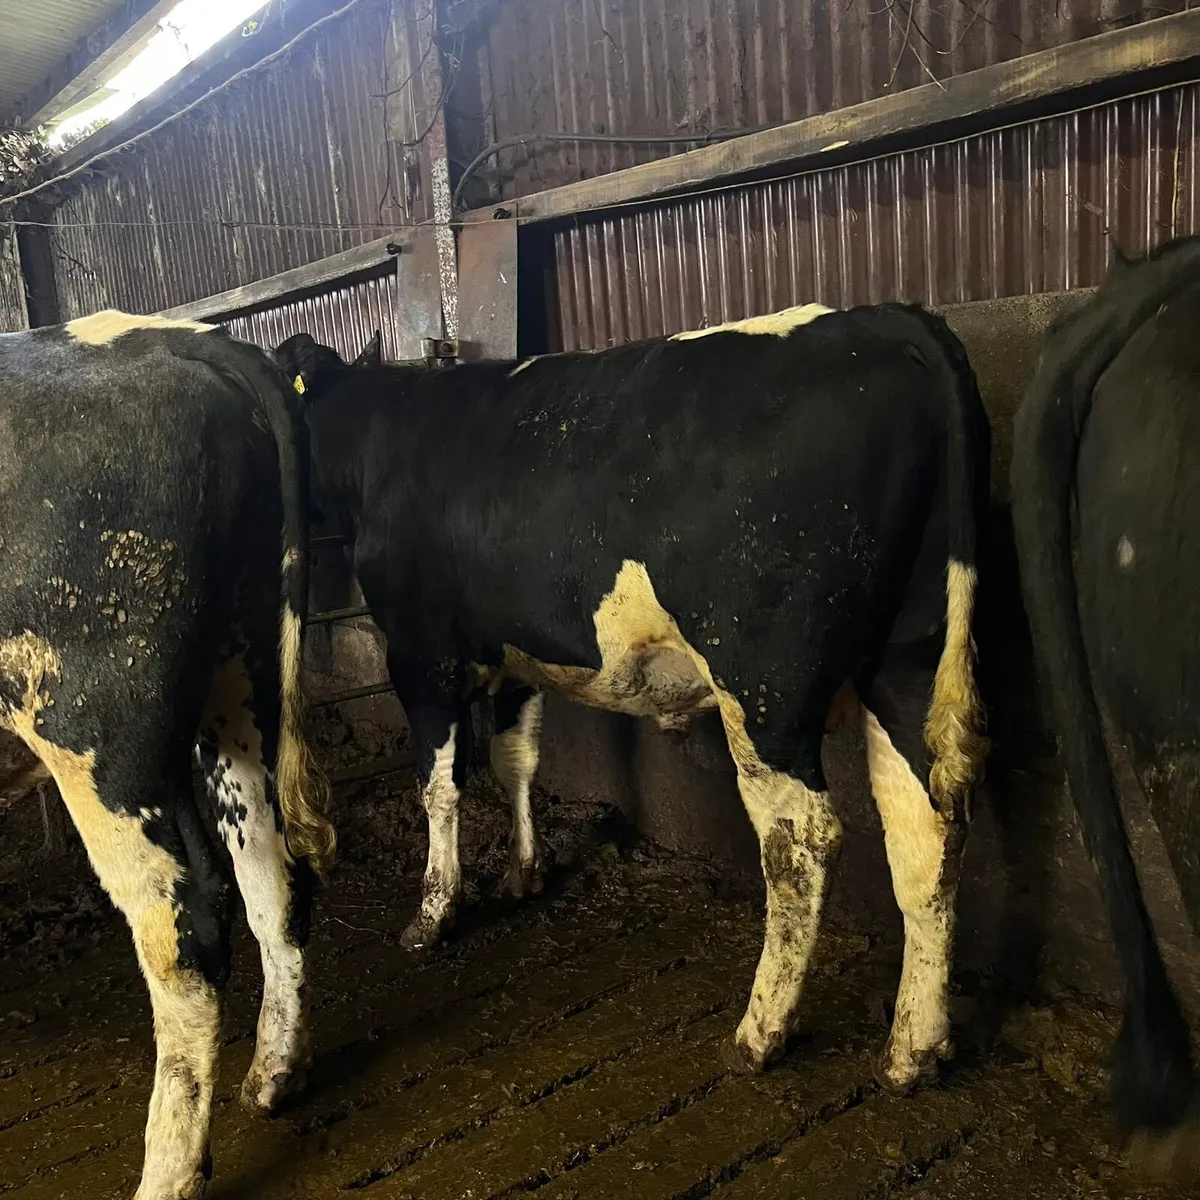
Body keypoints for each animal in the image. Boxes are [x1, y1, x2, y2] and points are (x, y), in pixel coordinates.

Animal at [0, 311, 334, 1200]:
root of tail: (166, 333)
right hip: (241, 673)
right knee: (271, 877)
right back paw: (274, 1075)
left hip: (90, 721)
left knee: (185, 939)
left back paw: (169, 1173)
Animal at [275, 300, 991, 1091]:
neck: (382, 444)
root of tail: (880, 318)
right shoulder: (520, 655)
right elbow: (516, 760)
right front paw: (525, 873)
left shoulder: (418, 654)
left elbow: (440, 785)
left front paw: (433, 914)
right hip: (908, 660)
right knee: (927, 830)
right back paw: (914, 1047)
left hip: (764, 685)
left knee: (801, 839)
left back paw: (760, 1032)